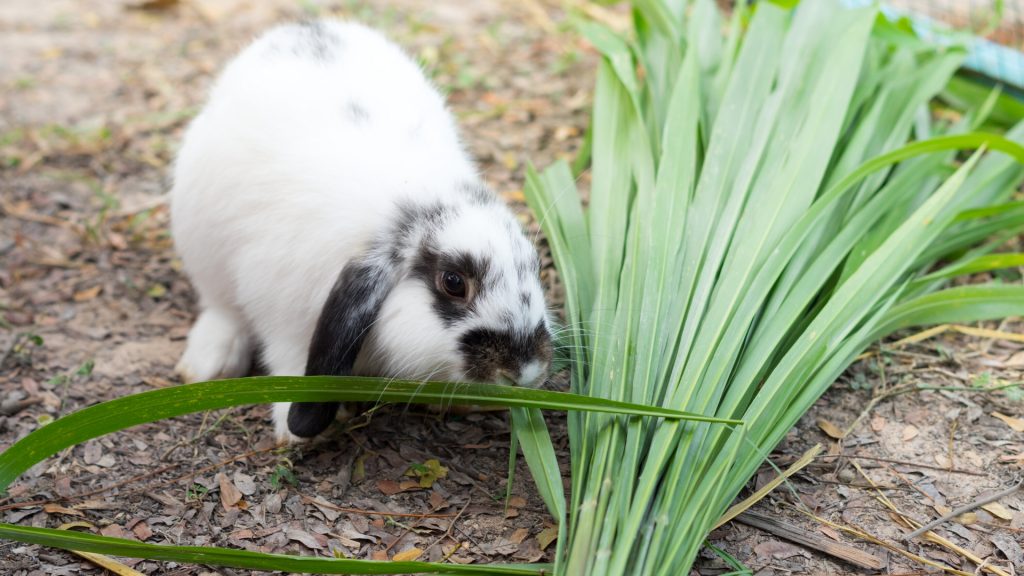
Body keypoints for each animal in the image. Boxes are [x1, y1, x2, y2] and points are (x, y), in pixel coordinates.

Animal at [169, 19, 552, 438]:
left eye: (535, 266)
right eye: (453, 283)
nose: (523, 370)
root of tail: (303, 26)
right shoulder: (281, 309)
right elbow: (289, 359)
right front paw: (299, 427)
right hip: (200, 240)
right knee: (220, 306)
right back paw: (210, 362)